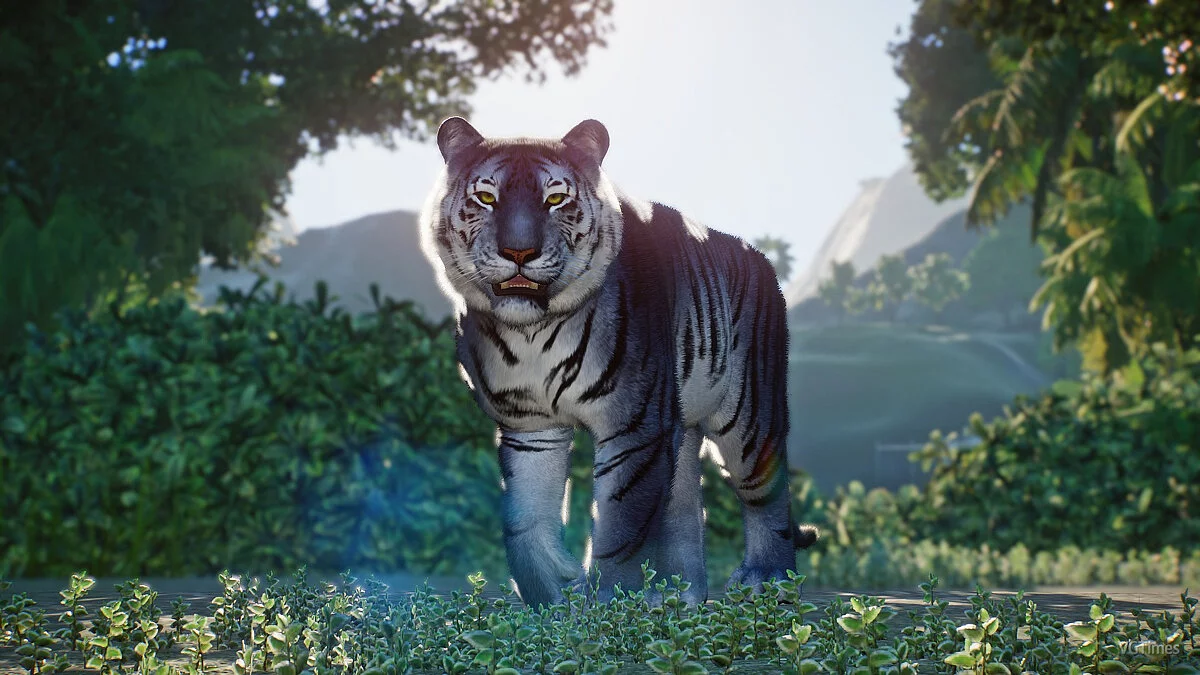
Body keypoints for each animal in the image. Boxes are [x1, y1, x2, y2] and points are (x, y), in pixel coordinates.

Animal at [418, 117, 817, 608]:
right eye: (486, 198)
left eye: (556, 199)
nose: (519, 253)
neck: (530, 331)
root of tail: (759, 258)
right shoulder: (530, 428)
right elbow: (524, 524)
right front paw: (554, 596)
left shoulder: (633, 425)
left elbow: (622, 526)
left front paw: (607, 604)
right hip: (679, 423)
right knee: (684, 504)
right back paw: (678, 597)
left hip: (747, 414)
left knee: (766, 492)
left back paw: (769, 581)